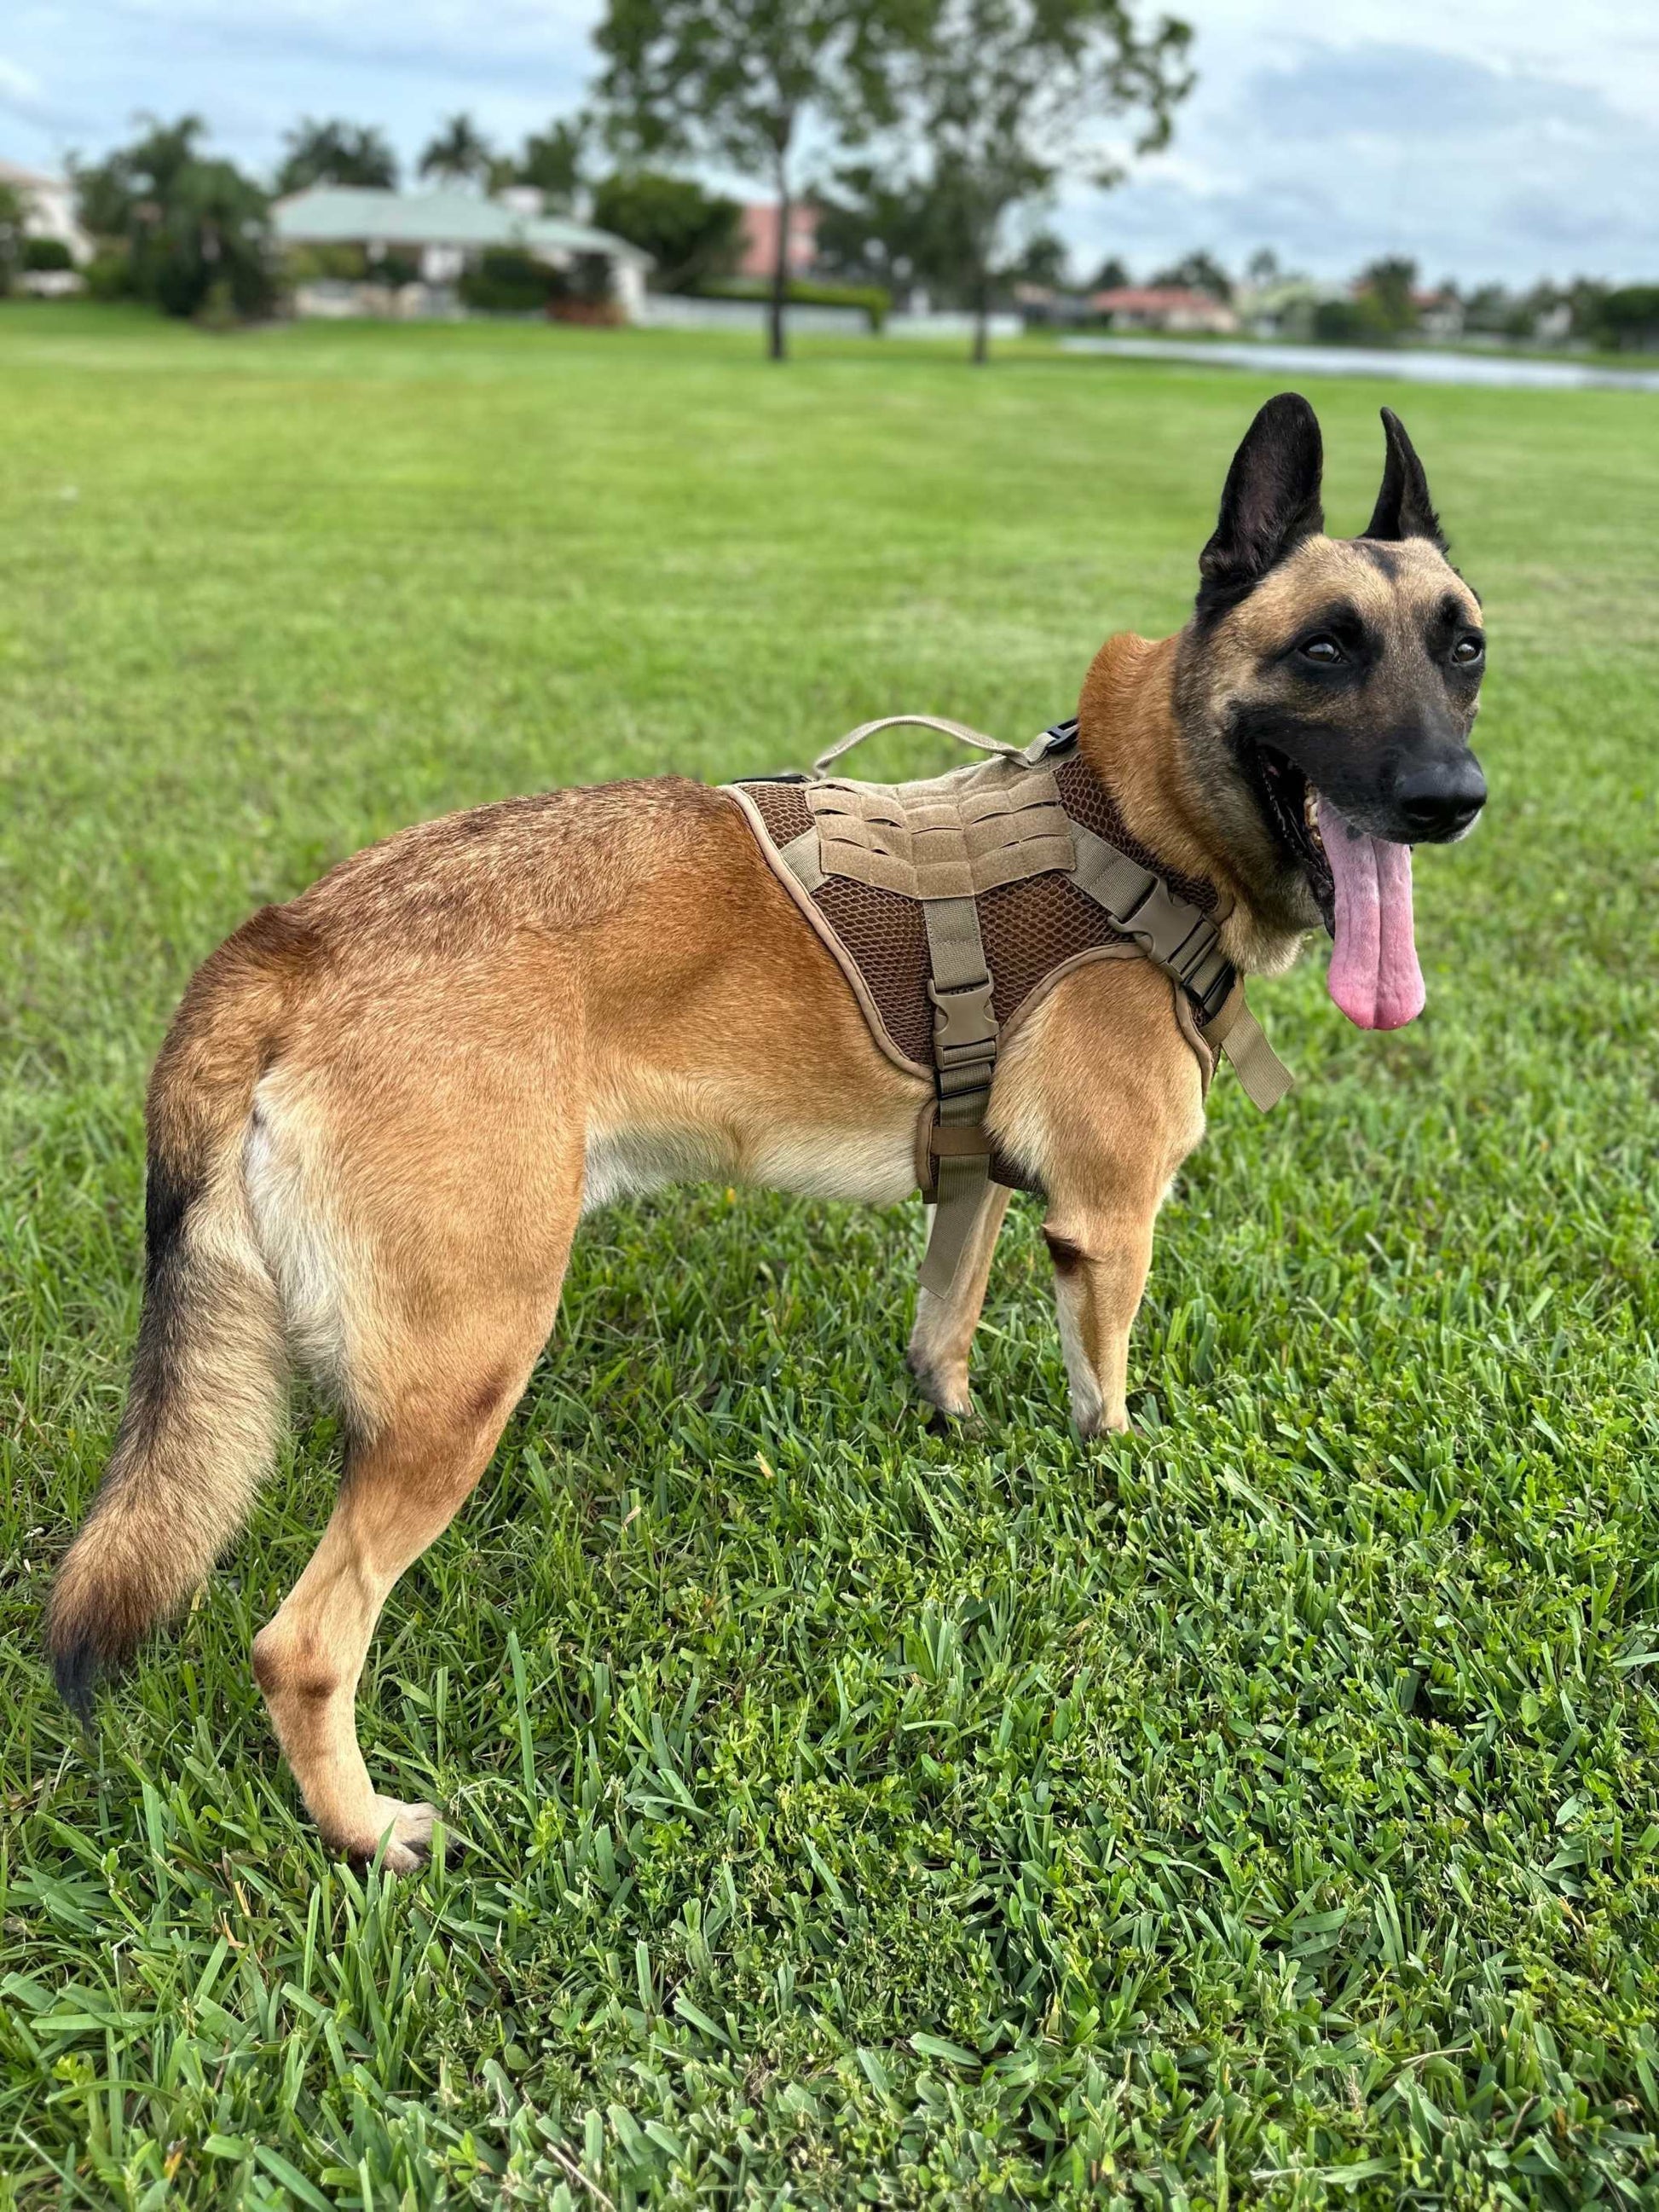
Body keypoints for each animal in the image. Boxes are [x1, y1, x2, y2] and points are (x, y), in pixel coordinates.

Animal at [49, 393, 1494, 1867]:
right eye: (1324, 648)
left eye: (1463, 647)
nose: (1451, 795)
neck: (1140, 815)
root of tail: (294, 935)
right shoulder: (1107, 1225)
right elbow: (1106, 1397)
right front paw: (1116, 1478)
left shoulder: (975, 1187)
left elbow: (943, 1326)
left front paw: (951, 1426)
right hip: (464, 1378)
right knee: (302, 1643)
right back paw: (367, 1829)